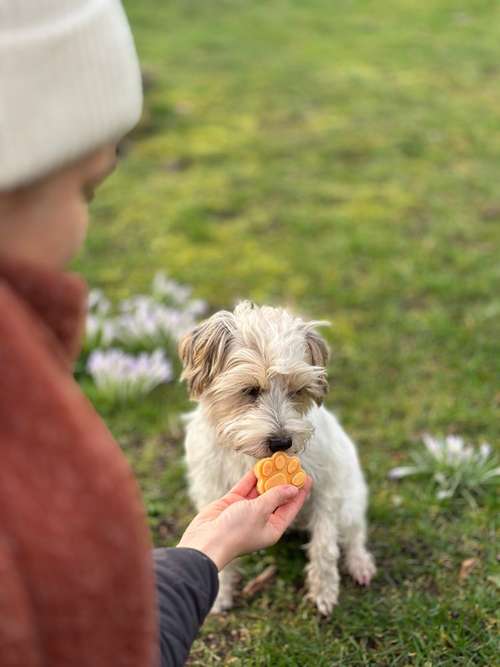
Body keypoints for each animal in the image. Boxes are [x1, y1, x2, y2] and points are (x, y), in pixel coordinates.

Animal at [180, 302, 376, 616]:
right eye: (249, 390)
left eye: (297, 391)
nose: (282, 442)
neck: (248, 456)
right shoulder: (211, 489)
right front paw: (220, 594)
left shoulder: (326, 489)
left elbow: (324, 546)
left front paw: (324, 592)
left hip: (350, 504)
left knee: (354, 535)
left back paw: (360, 564)